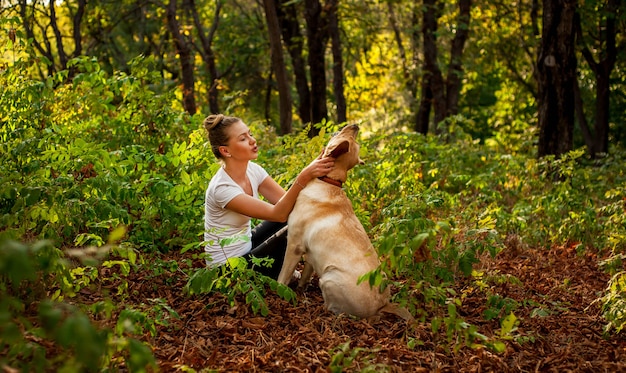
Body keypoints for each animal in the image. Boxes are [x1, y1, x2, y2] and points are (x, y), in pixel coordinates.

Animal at [276, 124, 412, 320]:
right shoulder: (310, 253)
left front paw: (278, 291)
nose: (356, 125)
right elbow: (305, 275)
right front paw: (301, 289)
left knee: (333, 309)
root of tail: (384, 305)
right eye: (353, 139)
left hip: (329, 278)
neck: (330, 181)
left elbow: (283, 275)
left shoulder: (294, 244)